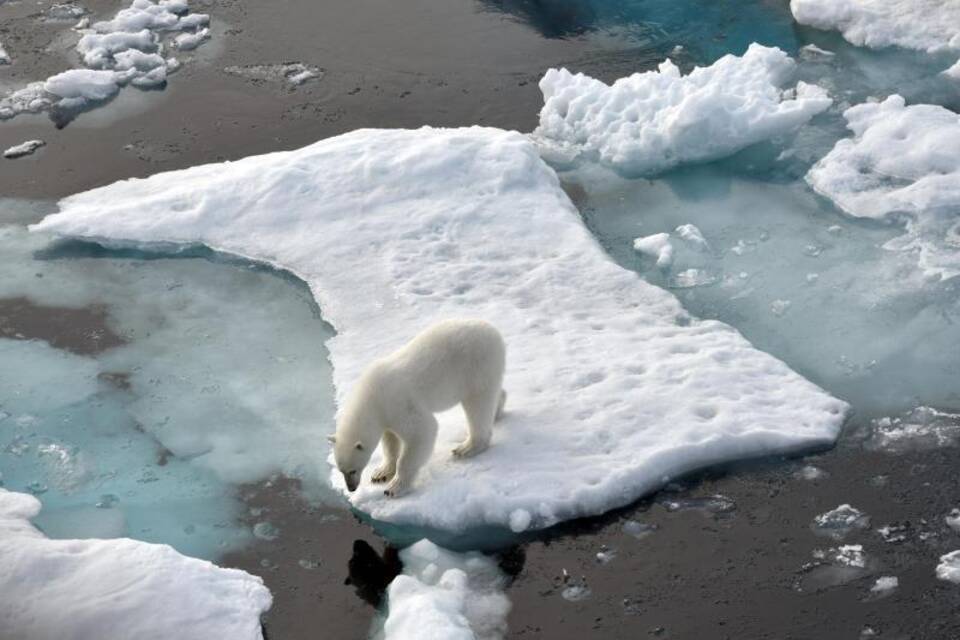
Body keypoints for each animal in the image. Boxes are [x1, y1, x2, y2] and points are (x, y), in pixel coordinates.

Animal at [330, 318, 506, 498]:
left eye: (352, 470)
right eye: (341, 470)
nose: (351, 488)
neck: (372, 395)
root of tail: (493, 331)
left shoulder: (398, 402)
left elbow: (422, 431)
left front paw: (394, 487)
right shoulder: (386, 413)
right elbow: (390, 441)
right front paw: (380, 473)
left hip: (476, 365)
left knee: (478, 404)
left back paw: (467, 447)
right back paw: (497, 410)